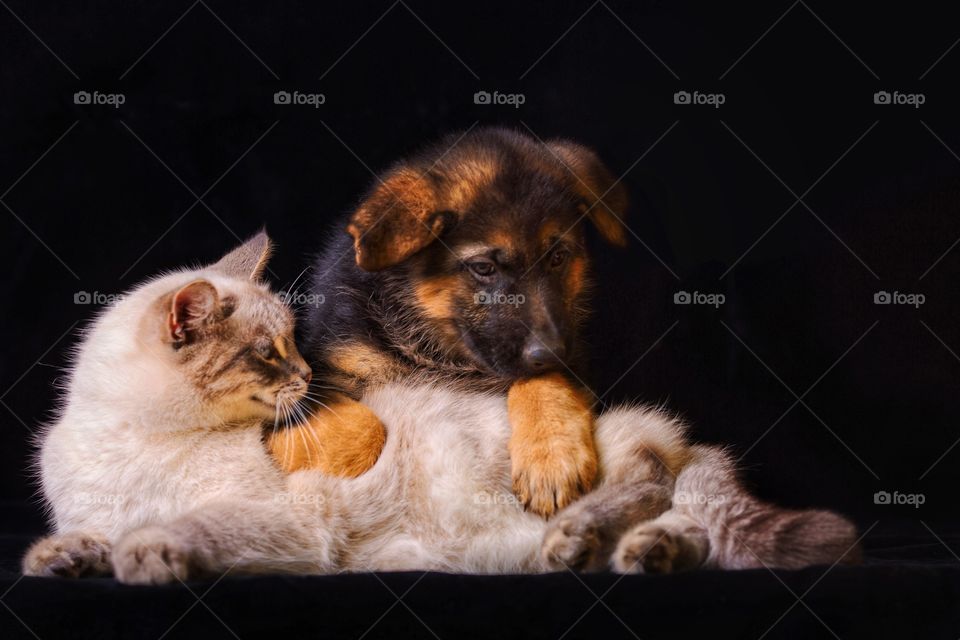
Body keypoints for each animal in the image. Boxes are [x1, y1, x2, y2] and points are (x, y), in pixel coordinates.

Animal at [24, 236, 864, 584]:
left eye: (292, 344)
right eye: (269, 355)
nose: (308, 375)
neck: (129, 440)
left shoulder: (278, 519)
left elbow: (186, 526)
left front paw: (148, 554)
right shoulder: (95, 510)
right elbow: (87, 536)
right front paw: (62, 559)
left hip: (573, 462)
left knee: (652, 479)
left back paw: (582, 536)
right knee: (691, 527)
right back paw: (633, 553)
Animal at [268, 129, 632, 516]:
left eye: (559, 258)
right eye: (484, 268)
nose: (551, 353)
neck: (437, 347)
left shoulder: (571, 353)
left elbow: (545, 381)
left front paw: (551, 455)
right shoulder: (317, 375)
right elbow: (363, 432)